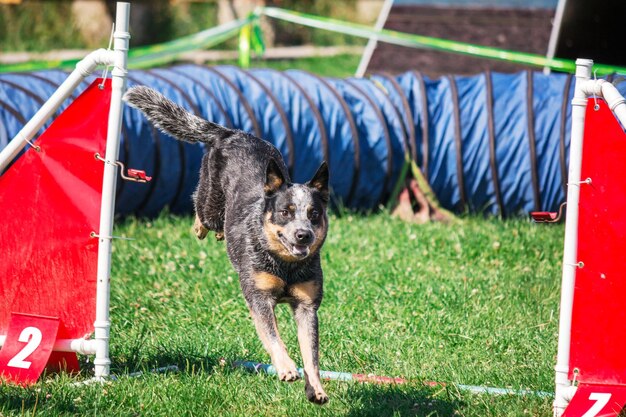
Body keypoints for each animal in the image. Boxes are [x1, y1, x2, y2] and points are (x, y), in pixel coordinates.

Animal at [119, 85, 330, 404]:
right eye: (286, 212)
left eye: (314, 214)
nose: (303, 235)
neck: (286, 266)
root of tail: (230, 132)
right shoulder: (259, 297)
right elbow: (273, 337)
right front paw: (285, 367)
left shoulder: (307, 305)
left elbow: (311, 353)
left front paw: (316, 388)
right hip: (210, 200)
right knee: (201, 207)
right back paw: (201, 227)